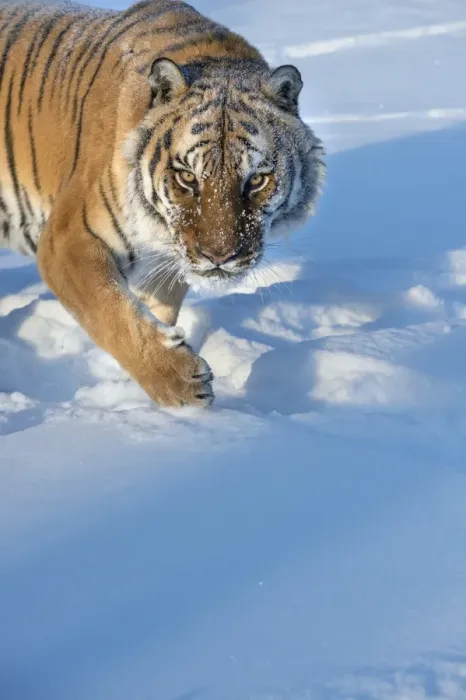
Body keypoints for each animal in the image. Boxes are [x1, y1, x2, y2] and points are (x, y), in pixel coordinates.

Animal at [0, 0, 325, 407]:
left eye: (256, 180)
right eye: (187, 177)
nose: (220, 257)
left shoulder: (164, 265)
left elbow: (153, 308)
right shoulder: (67, 241)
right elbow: (112, 312)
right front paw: (181, 383)